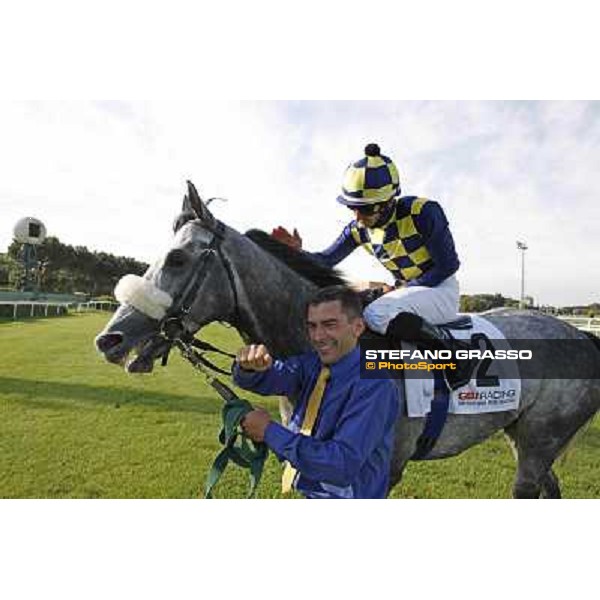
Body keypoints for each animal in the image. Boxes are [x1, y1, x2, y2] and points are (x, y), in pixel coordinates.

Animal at [96, 182, 596, 496]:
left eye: (177, 259)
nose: (109, 339)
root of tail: (580, 336)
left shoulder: (377, 471)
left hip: (540, 442)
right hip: (523, 435)